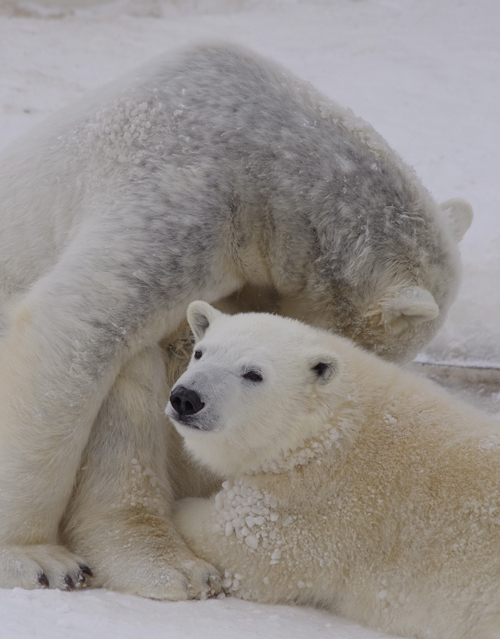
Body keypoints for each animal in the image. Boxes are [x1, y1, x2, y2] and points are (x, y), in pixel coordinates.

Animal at [171, 302, 500, 639]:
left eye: (253, 374)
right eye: (200, 352)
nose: (186, 398)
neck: (332, 426)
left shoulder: (316, 505)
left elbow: (239, 545)